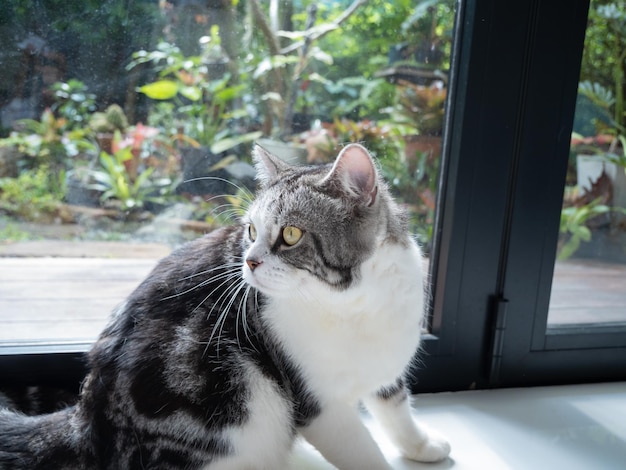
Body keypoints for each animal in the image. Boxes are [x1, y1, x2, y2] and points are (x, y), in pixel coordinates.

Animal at [0, 144, 448, 470]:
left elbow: (396, 410)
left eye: (290, 234)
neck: (354, 304)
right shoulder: (316, 403)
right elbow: (362, 452)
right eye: (250, 230)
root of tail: (88, 420)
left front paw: (422, 446)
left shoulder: (387, 362)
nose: (248, 260)